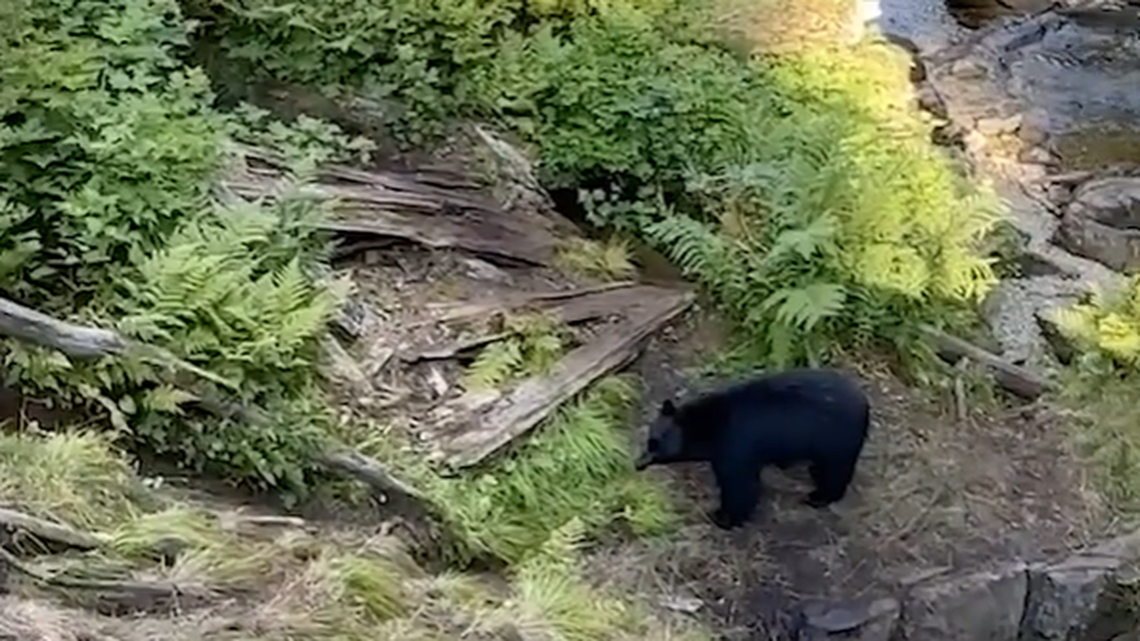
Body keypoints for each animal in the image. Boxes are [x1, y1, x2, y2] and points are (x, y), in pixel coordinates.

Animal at [633, 367, 871, 530]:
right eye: (649, 440)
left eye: (654, 444)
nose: (638, 463)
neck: (710, 427)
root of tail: (865, 402)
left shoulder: (735, 450)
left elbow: (741, 487)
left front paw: (723, 517)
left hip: (835, 441)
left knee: (835, 471)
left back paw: (819, 496)